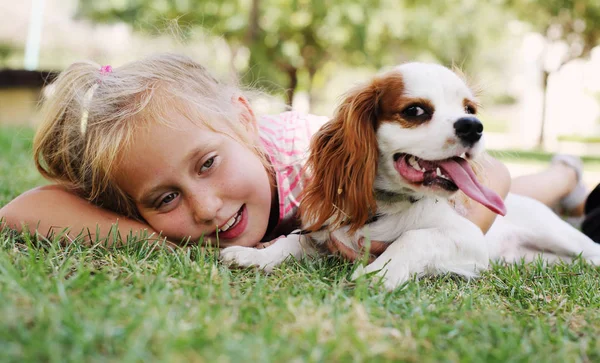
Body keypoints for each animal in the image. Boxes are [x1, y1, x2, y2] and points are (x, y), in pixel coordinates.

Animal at [219, 61, 600, 290]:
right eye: (415, 111)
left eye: (469, 108)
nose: (474, 126)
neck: (387, 206)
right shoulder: (328, 234)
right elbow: (294, 241)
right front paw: (255, 255)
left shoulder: (469, 239)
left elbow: (416, 238)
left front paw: (379, 272)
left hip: (562, 236)